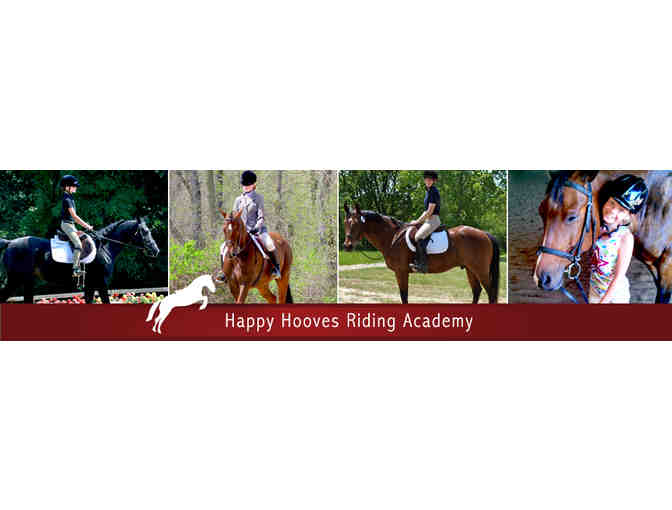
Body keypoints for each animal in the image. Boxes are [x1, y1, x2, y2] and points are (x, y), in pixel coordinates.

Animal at [0, 217, 160, 304]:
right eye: (145, 231)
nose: (156, 250)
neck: (104, 247)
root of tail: (9, 242)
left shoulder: (91, 285)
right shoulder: (100, 283)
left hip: (26, 280)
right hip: (15, 279)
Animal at [342, 203, 500, 304]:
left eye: (356, 223)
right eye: (345, 222)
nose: (347, 246)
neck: (392, 236)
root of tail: (484, 233)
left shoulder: (401, 272)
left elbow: (404, 296)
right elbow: (404, 296)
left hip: (480, 270)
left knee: (490, 293)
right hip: (470, 269)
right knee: (477, 291)